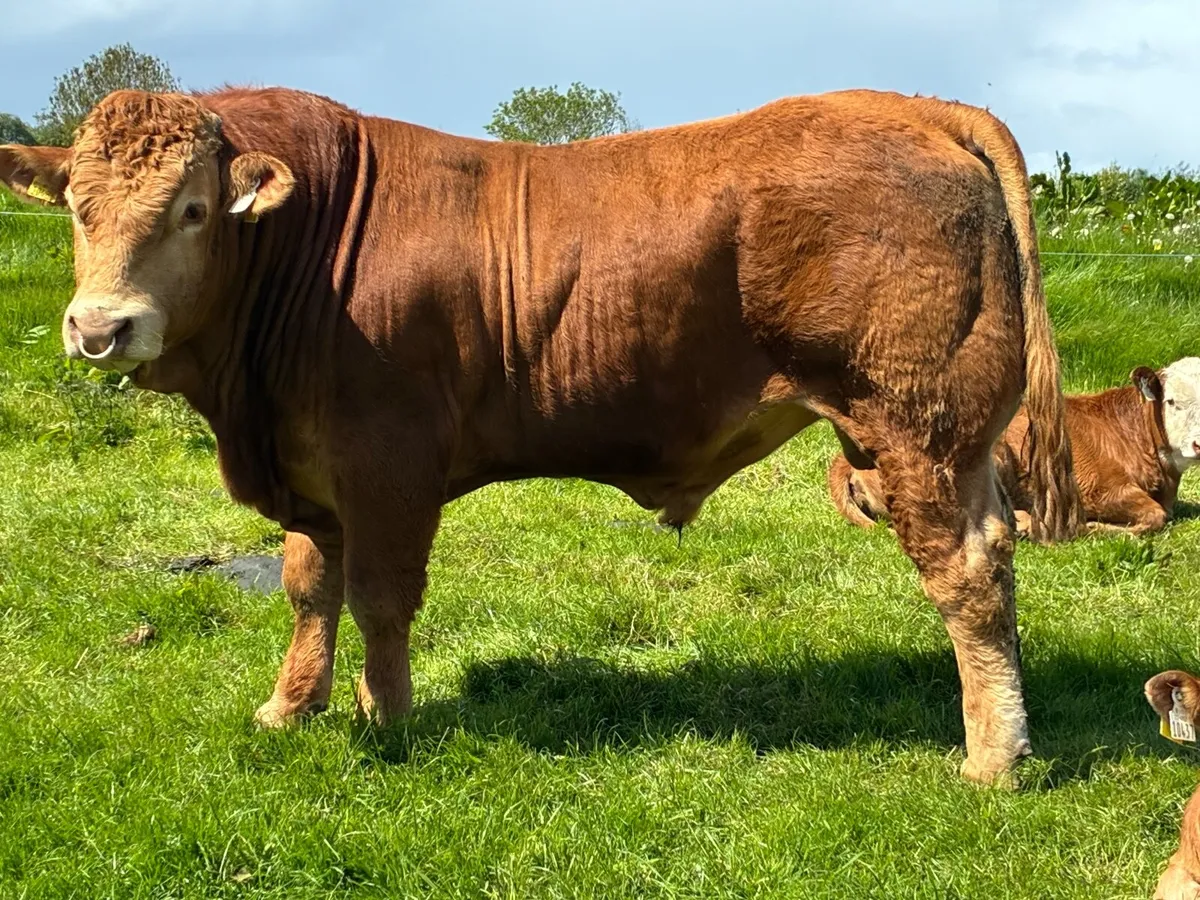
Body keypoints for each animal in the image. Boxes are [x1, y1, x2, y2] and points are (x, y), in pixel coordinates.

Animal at [0, 85, 1084, 787]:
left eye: (192, 210)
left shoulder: (386, 461)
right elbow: (311, 588)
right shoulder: (311, 469)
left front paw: (385, 719)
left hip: (914, 427)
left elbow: (381, 600)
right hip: (958, 445)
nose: (99, 328)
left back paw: (993, 757)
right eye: (78, 208)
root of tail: (913, 106)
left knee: (967, 574)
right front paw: (289, 708)